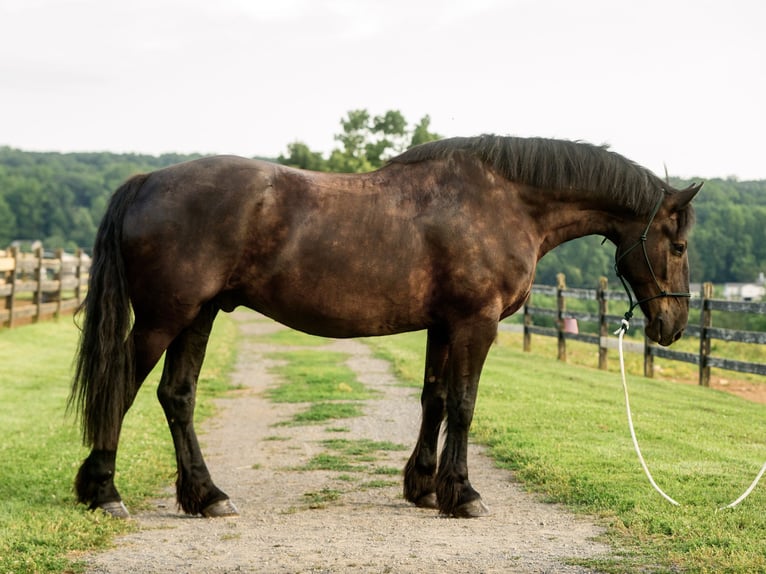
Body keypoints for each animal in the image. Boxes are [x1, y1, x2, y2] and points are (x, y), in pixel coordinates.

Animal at [69, 135, 700, 519]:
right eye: (678, 244)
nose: (673, 324)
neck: (506, 201)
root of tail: (148, 181)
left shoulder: (444, 326)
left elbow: (435, 400)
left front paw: (424, 488)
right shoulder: (475, 324)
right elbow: (464, 404)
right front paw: (463, 494)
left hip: (197, 316)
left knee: (177, 396)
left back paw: (207, 496)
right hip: (164, 318)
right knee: (121, 387)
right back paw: (104, 493)